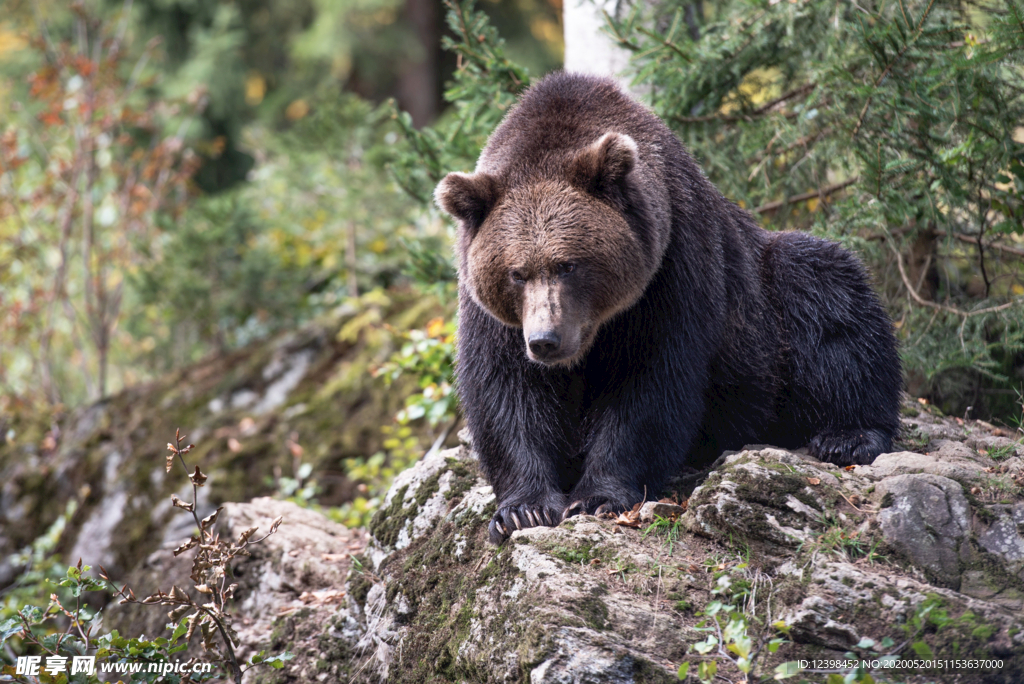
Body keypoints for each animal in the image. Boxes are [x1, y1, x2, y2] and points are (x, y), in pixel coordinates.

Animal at [436, 72, 901, 540]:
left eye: (568, 264)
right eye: (516, 273)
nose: (545, 341)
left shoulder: (671, 268)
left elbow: (649, 384)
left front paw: (599, 496)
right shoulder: (492, 314)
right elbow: (506, 391)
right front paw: (524, 509)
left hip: (768, 313)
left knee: (825, 294)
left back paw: (848, 435)